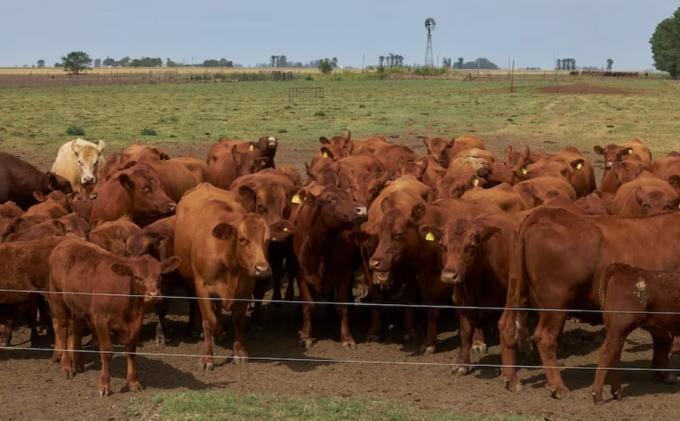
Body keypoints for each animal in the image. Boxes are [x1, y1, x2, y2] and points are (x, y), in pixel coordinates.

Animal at [48, 236, 181, 394]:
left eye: (160, 275)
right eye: (137, 277)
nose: (153, 295)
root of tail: (67, 241)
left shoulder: (136, 322)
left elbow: (131, 350)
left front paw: (134, 382)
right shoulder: (100, 320)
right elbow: (107, 351)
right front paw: (104, 385)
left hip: (78, 305)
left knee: (77, 330)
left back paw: (79, 363)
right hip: (57, 298)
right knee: (62, 329)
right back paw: (67, 366)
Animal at [174, 182, 272, 366]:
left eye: (268, 239)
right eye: (242, 239)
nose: (262, 268)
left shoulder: (245, 289)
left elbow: (238, 318)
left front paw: (240, 352)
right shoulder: (203, 287)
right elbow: (208, 320)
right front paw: (207, 356)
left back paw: (219, 331)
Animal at [588, 264, 680, 402]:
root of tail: (624, 268)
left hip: (617, 331)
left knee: (615, 354)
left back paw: (617, 391)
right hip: (620, 327)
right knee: (607, 352)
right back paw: (598, 395)